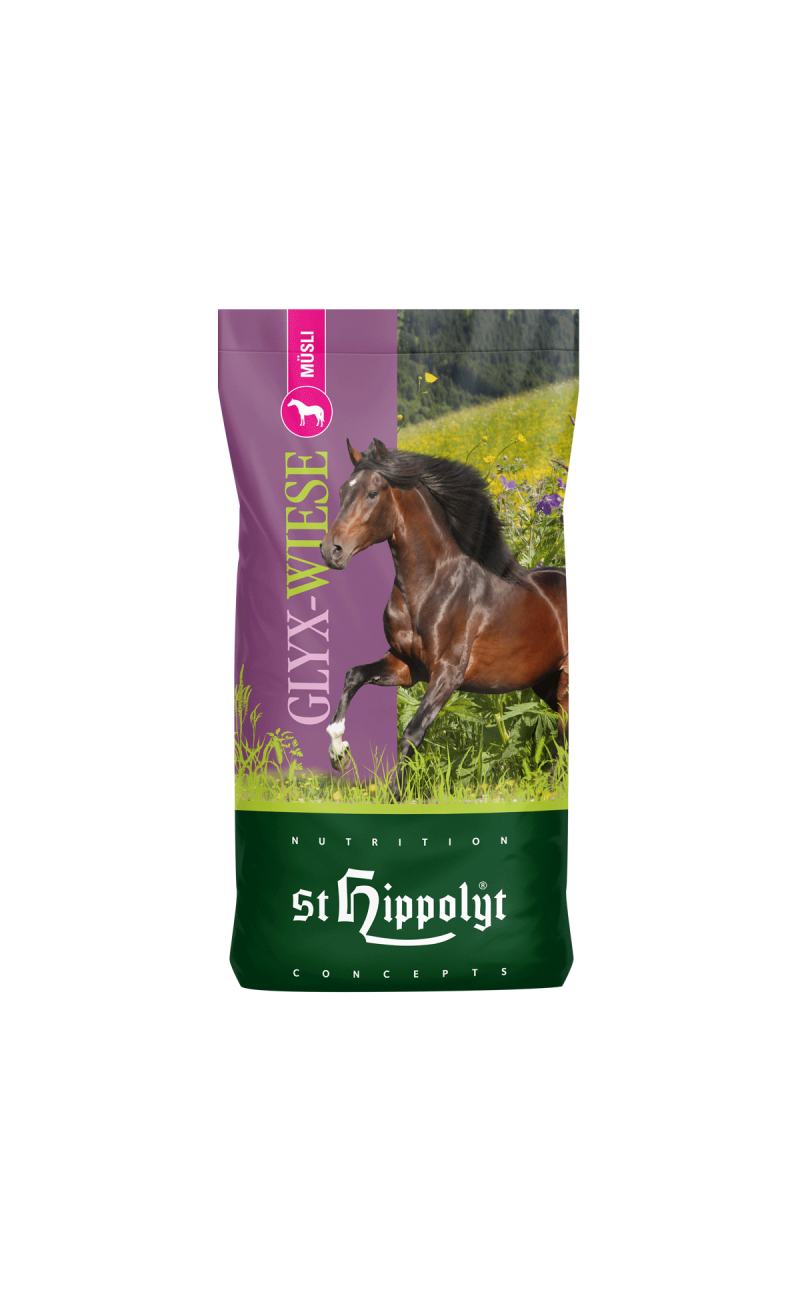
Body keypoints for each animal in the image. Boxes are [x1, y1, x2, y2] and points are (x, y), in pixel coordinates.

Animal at [319, 437, 568, 799]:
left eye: (372, 493)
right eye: (341, 491)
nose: (331, 550)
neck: (429, 589)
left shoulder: (448, 673)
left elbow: (411, 733)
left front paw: (395, 796)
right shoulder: (406, 665)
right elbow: (354, 675)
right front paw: (338, 751)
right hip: (548, 682)